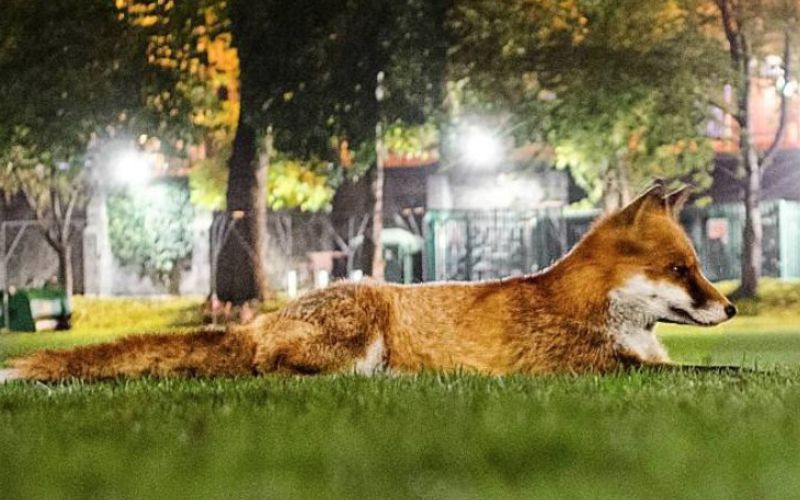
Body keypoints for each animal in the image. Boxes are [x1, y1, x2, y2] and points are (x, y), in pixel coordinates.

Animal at [0, 182, 737, 383]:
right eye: (683, 270)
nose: (731, 308)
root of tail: (257, 319)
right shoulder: (597, 369)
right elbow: (721, 373)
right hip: (359, 330)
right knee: (275, 372)